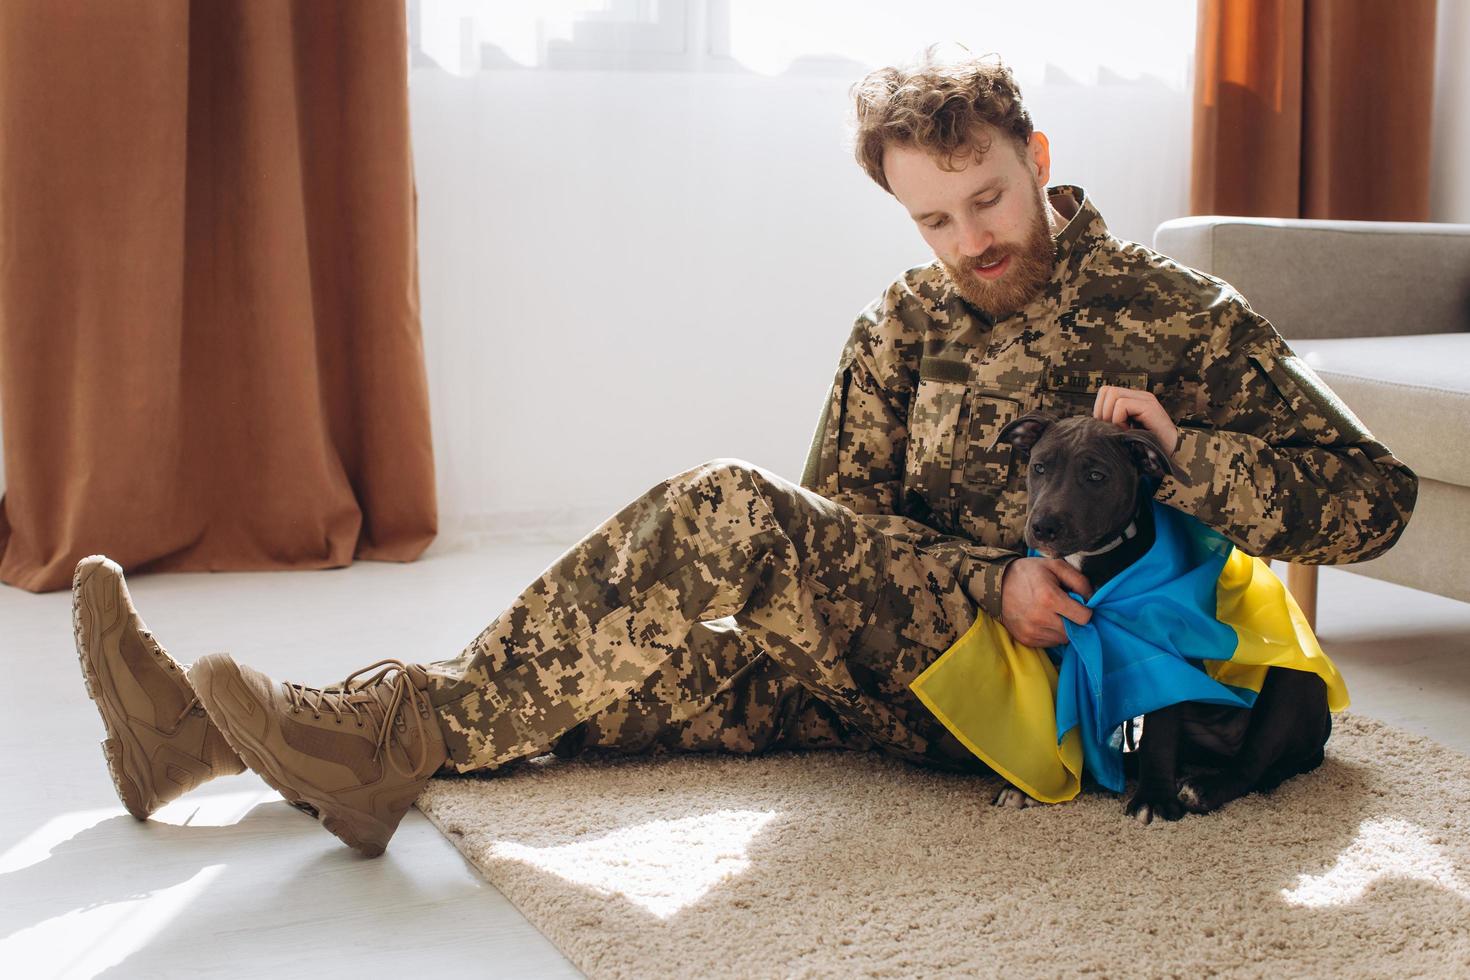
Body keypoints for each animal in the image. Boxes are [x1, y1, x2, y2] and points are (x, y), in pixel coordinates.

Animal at [987, 411, 1334, 822]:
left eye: (1096, 476)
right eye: (1039, 467)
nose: (1043, 527)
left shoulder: (1163, 655)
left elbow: (1159, 733)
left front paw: (1152, 798)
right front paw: (1037, 785)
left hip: (1292, 682)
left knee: (1251, 764)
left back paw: (1203, 790)